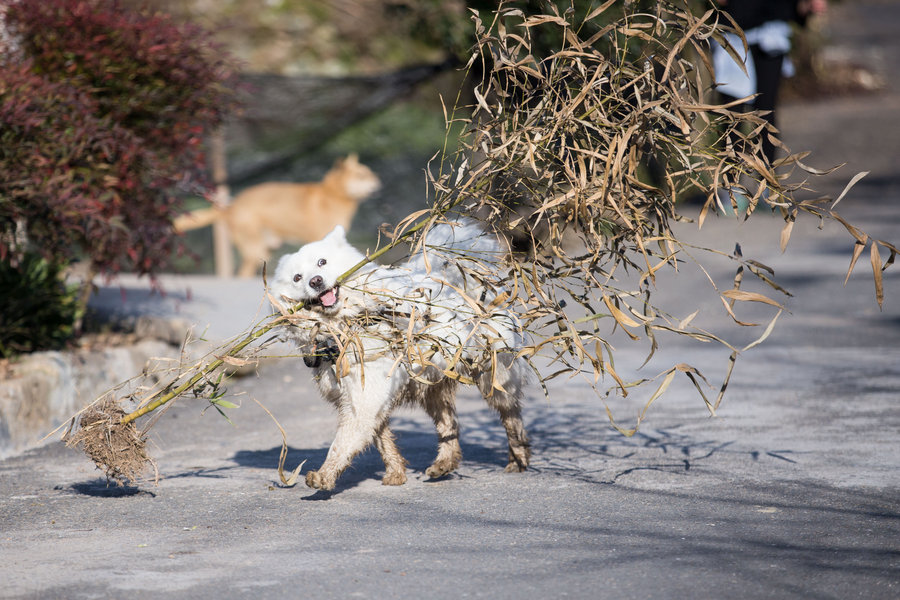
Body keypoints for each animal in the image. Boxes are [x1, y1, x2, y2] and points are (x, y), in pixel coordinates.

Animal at [174, 154, 382, 278]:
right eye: (361, 176)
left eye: (370, 173)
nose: (379, 185)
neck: (332, 194)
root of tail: (230, 207)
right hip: (255, 249)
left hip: (265, 249)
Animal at [270, 223, 532, 490]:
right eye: (297, 277)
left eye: (322, 262)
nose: (315, 281)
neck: (342, 329)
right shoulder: (363, 399)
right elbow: (383, 441)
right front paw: (396, 473)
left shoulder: (363, 399)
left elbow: (341, 444)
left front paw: (324, 475)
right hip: (433, 387)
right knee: (449, 426)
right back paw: (444, 463)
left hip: (496, 377)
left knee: (511, 417)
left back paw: (518, 459)